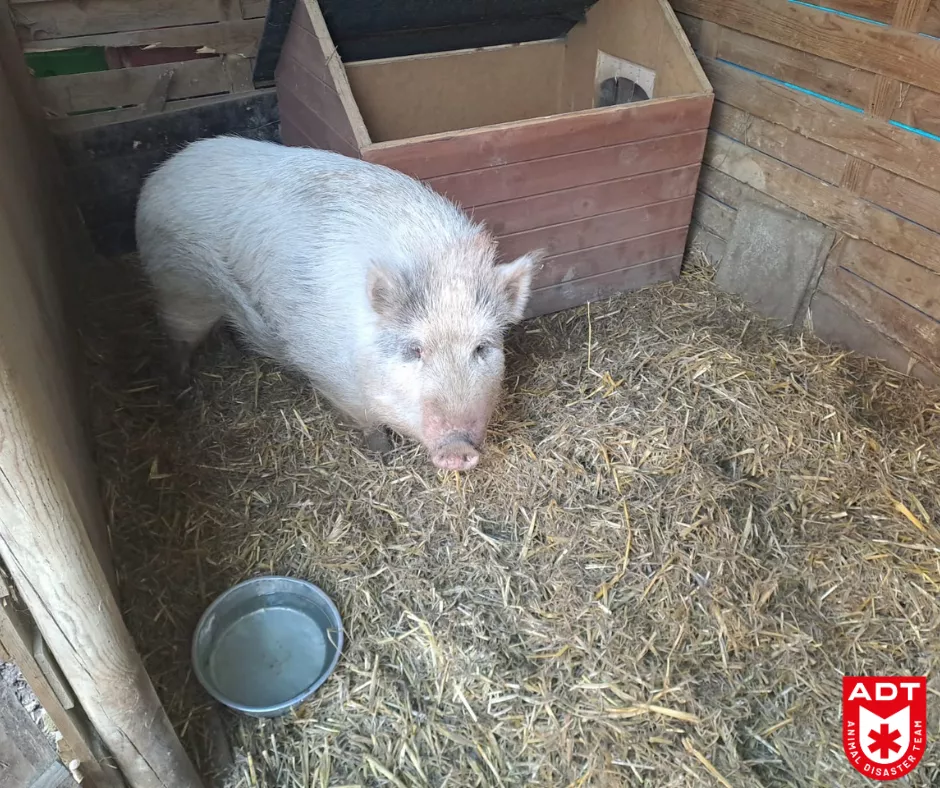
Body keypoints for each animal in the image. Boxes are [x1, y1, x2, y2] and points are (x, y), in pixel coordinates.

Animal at [135, 135, 543, 471]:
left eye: (481, 348)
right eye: (414, 349)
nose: (458, 448)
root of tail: (164, 170)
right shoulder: (329, 371)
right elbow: (367, 424)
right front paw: (382, 455)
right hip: (179, 288)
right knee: (178, 341)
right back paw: (182, 390)